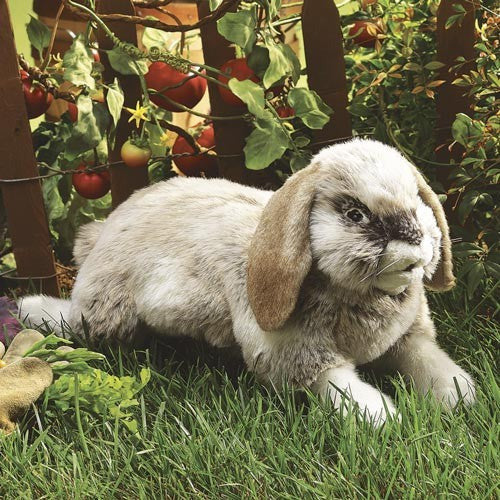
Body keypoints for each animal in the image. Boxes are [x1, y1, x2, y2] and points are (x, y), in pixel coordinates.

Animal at [18, 139, 472, 424]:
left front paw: (460, 396)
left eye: (417, 201)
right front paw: (381, 418)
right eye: (355, 214)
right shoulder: (296, 354)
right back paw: (28, 308)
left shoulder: (408, 338)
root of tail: (107, 226)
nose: (414, 241)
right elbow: (339, 384)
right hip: (105, 310)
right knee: (72, 319)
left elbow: (428, 361)